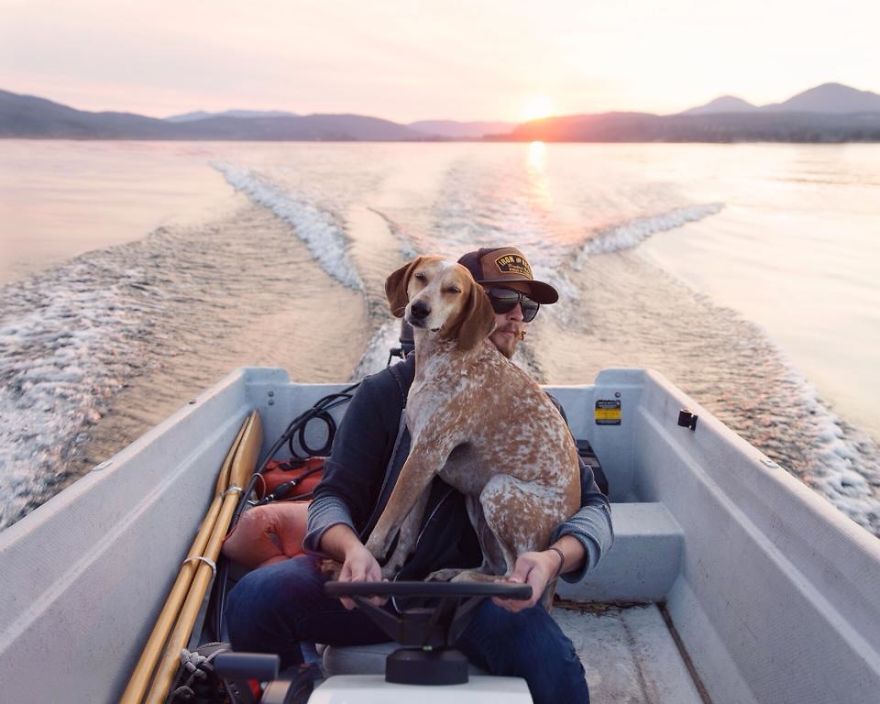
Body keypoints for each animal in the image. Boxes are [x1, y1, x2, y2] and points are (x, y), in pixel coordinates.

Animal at [364, 256, 584, 596]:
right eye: (420, 277)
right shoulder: (421, 459)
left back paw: (465, 580)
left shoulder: (426, 454)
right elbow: (406, 532)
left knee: (514, 575)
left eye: (453, 290)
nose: (419, 308)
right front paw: (389, 571)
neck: (447, 353)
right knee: (493, 565)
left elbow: (385, 523)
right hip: (476, 503)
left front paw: (361, 566)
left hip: (497, 490)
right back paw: (450, 573)